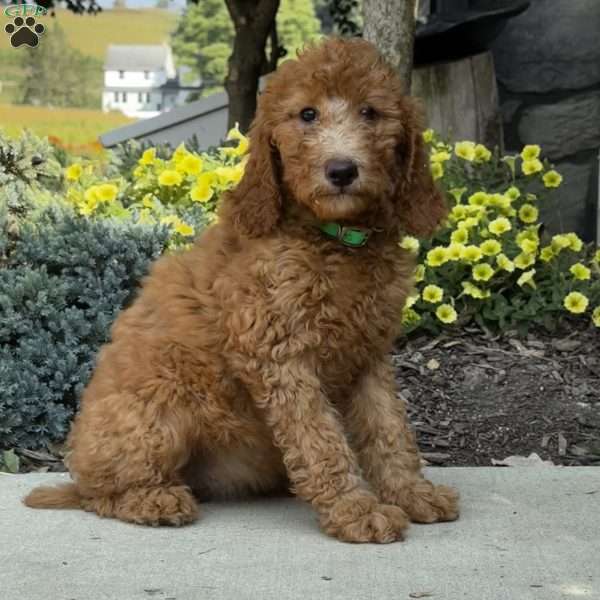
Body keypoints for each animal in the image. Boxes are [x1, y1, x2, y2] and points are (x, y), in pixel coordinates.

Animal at [22, 38, 460, 544]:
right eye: (307, 114)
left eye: (370, 112)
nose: (341, 170)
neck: (333, 239)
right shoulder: (277, 352)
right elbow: (321, 439)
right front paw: (355, 509)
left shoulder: (368, 355)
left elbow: (389, 428)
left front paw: (412, 493)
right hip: (159, 408)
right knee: (101, 492)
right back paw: (153, 499)